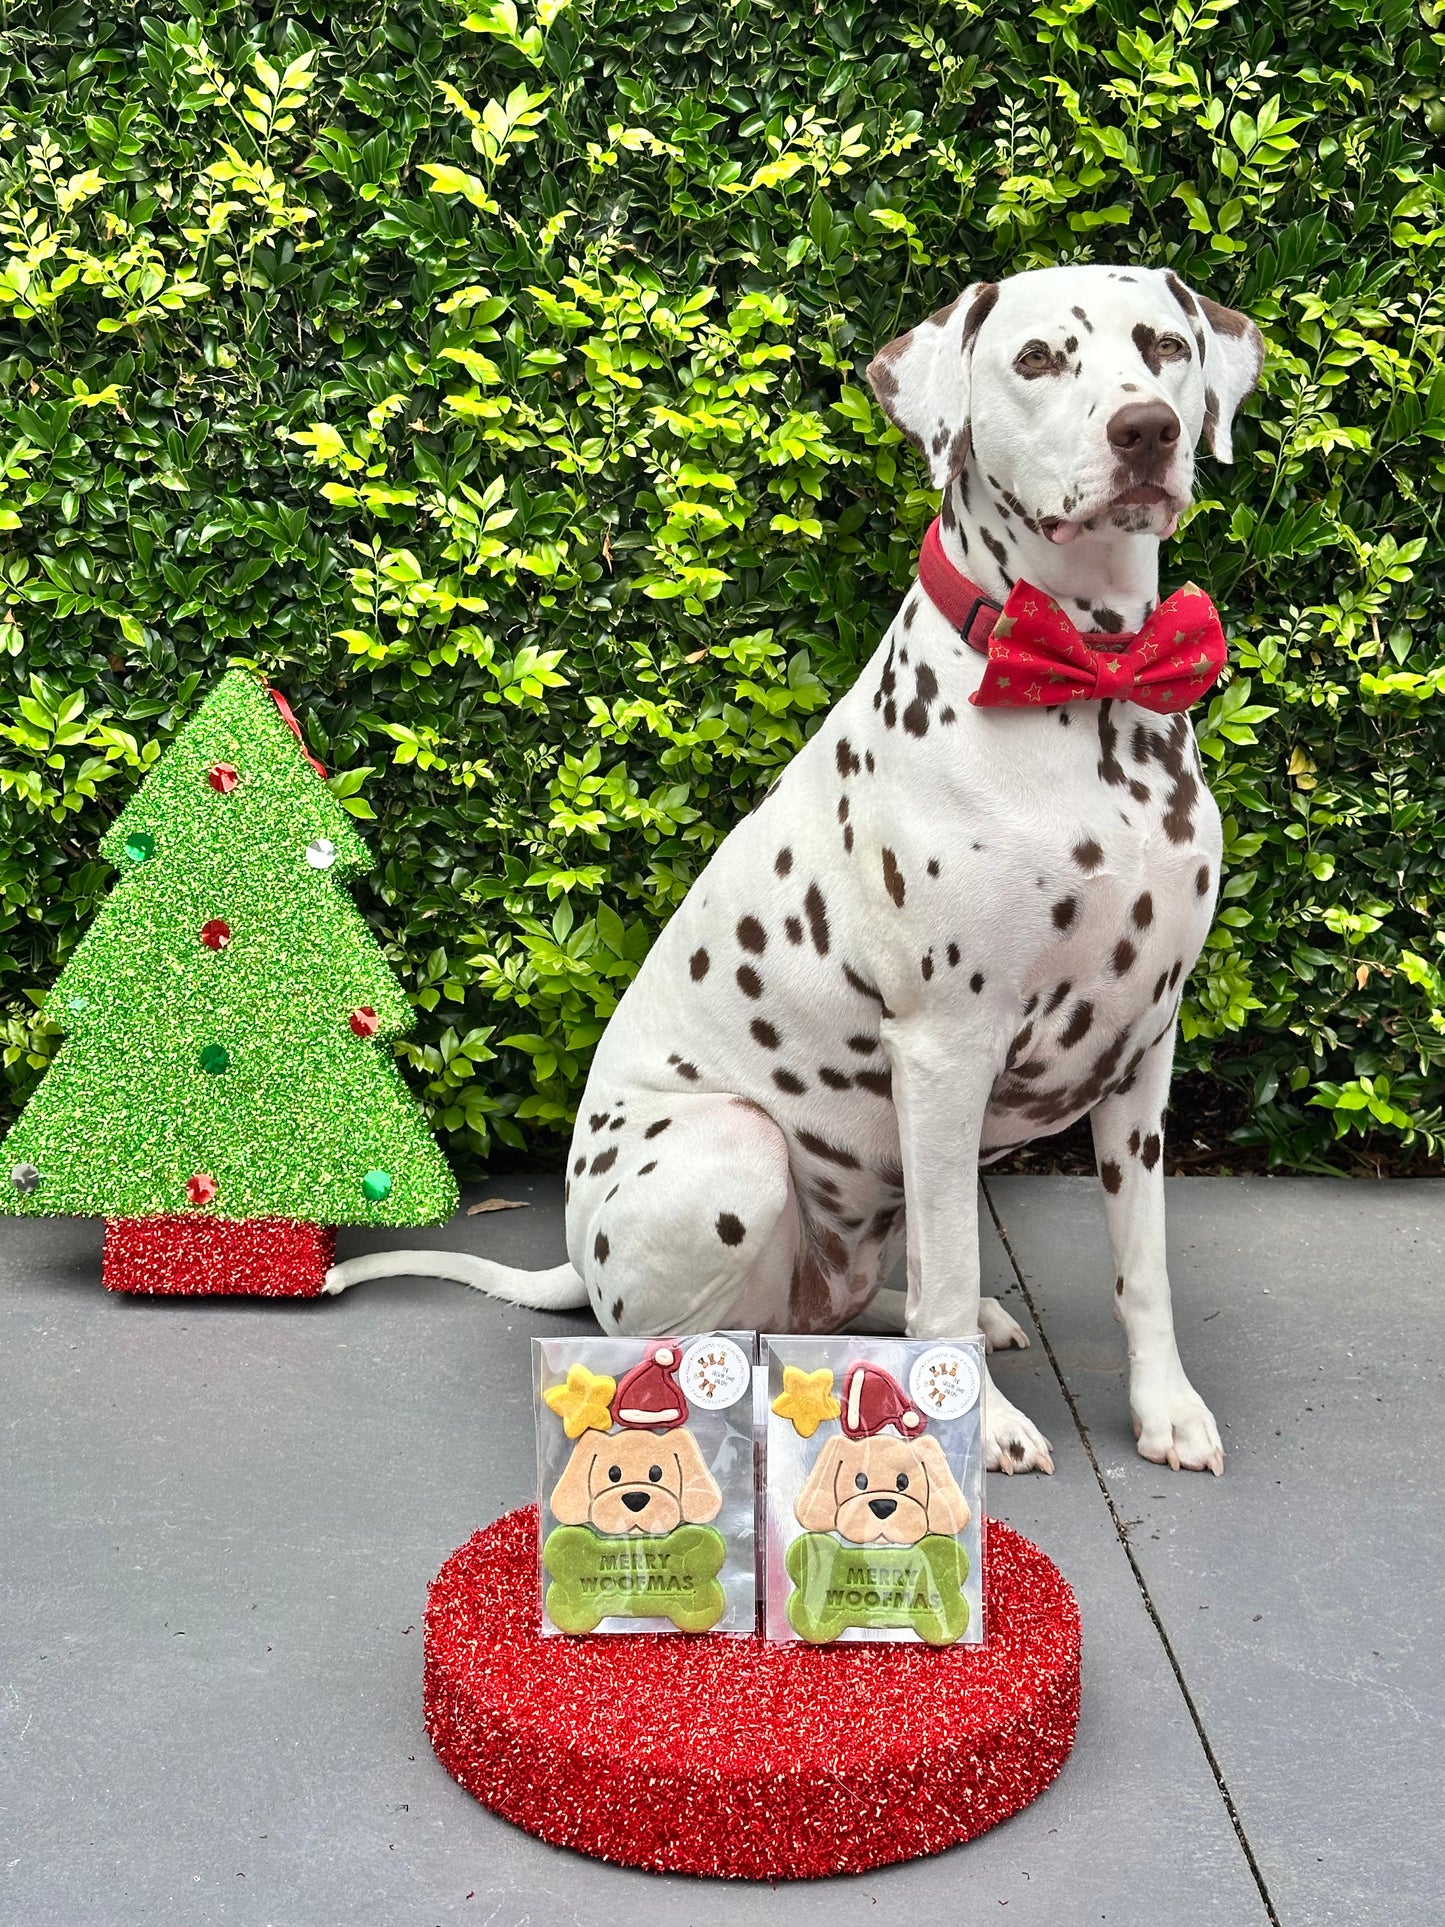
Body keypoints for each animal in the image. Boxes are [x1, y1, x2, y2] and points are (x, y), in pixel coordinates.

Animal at [331, 263, 1263, 1479]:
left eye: (1162, 347)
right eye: (1037, 359)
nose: (1145, 429)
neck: (1090, 675)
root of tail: (576, 1259)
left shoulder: (1143, 1052)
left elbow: (1138, 1265)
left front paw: (1165, 1407)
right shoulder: (944, 1052)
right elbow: (948, 1274)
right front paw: (985, 1424)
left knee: (858, 1300)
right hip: (737, 1148)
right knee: (714, 1338)